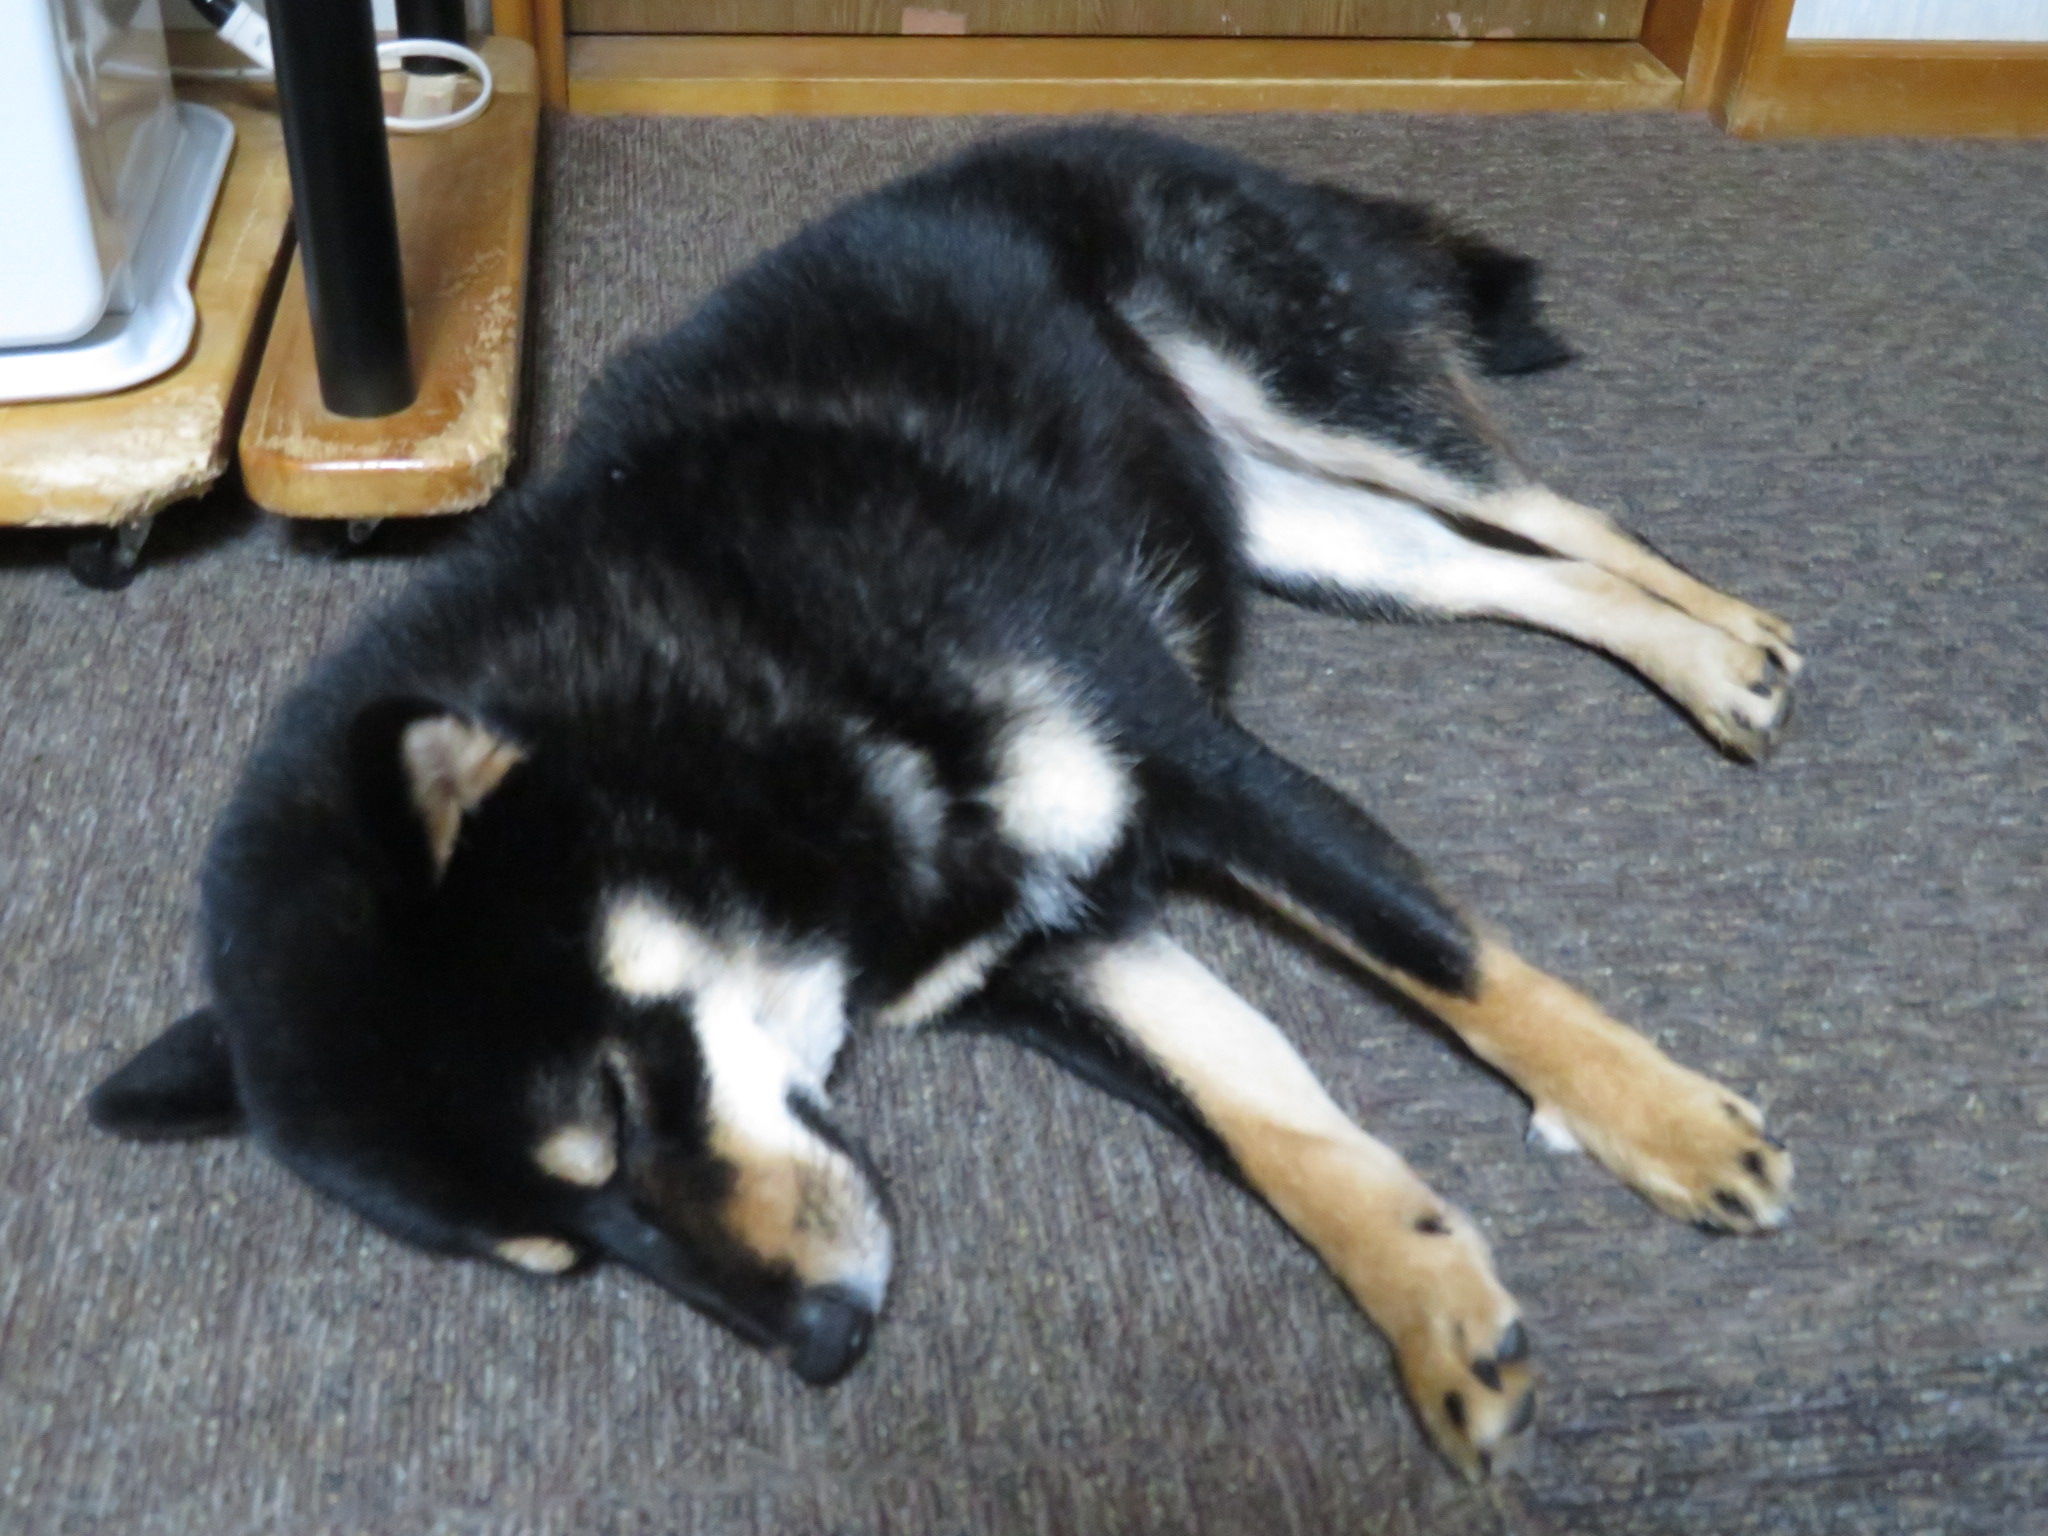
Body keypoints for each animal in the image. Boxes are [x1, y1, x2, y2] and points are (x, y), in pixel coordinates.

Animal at [89, 126, 1797, 1478]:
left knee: (1567, 513)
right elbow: (1272, 1130)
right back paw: (1702, 658)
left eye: (618, 1112)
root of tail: (1091, 130)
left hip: (1302, 386)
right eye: (557, 1259)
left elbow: (1450, 962)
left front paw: (1660, 1124)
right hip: (1304, 529)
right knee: (1499, 569)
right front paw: (1436, 1311)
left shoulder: (1190, 762)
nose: (822, 1344)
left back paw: (1732, 650)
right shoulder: (1051, 954)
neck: (732, 724)